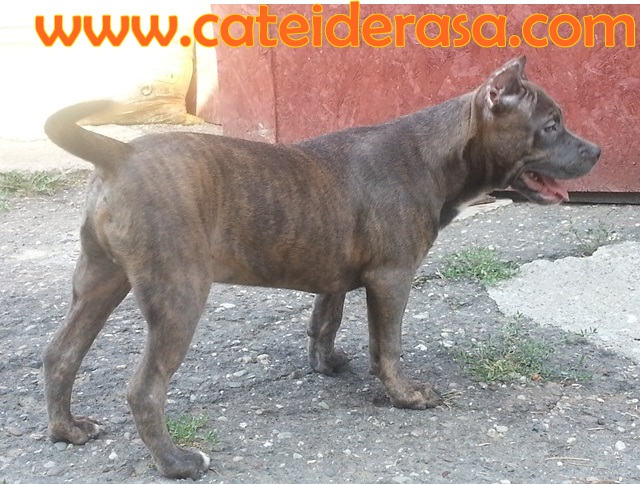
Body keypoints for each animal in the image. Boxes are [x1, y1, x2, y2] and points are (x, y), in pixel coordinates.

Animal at [42, 57, 600, 479]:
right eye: (551, 126)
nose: (597, 150)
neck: (436, 154)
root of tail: (119, 152)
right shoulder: (392, 279)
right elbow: (388, 346)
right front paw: (405, 396)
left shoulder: (335, 275)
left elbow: (324, 321)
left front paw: (325, 364)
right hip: (177, 294)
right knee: (144, 389)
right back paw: (176, 463)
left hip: (99, 280)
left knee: (60, 355)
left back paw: (67, 431)